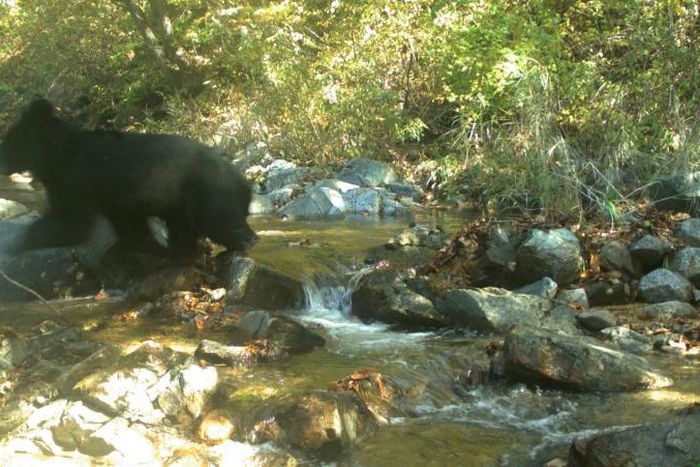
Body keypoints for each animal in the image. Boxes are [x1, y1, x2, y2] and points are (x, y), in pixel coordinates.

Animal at [0, 98, 258, 259]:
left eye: (7, 141)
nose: (2, 162)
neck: (55, 157)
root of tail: (245, 182)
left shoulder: (75, 180)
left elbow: (73, 222)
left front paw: (15, 244)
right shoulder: (115, 200)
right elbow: (128, 225)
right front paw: (136, 246)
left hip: (208, 192)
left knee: (222, 221)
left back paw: (243, 244)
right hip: (181, 203)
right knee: (185, 227)